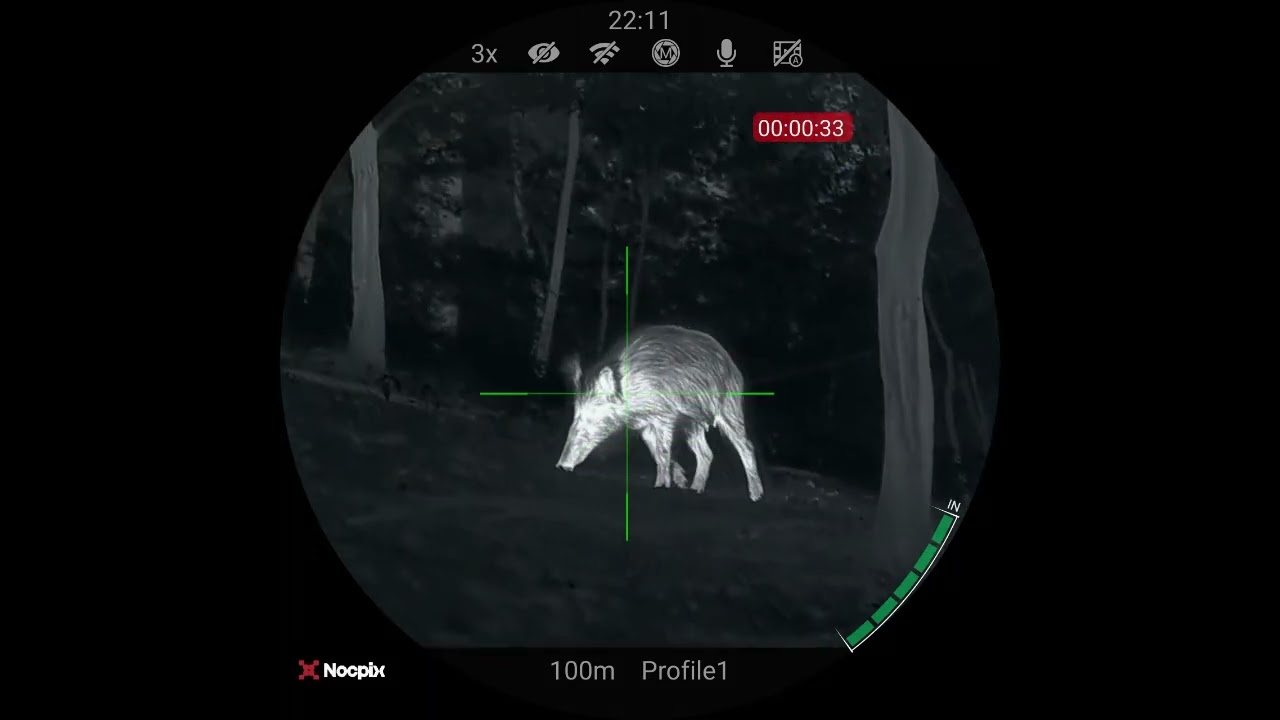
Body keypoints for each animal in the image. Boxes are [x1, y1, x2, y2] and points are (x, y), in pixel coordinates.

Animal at [555, 325, 764, 502]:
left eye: (591, 418)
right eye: (574, 417)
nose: (561, 466)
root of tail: (733, 365)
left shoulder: (665, 416)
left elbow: (663, 452)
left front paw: (661, 486)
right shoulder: (645, 426)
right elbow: (657, 453)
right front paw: (678, 481)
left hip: (729, 409)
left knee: (746, 446)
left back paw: (756, 495)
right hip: (692, 424)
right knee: (706, 453)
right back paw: (695, 489)